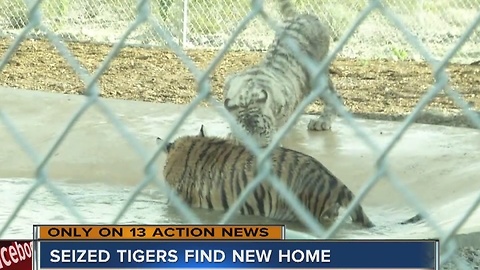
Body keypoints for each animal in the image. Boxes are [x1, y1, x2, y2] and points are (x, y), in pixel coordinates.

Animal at [223, 0, 344, 148]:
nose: (261, 148)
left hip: (317, 75)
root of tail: (303, 15)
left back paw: (321, 122)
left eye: (262, 131)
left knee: (334, 96)